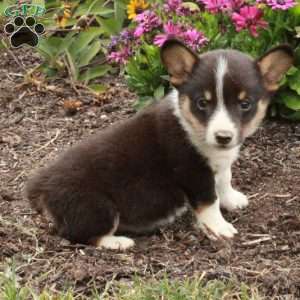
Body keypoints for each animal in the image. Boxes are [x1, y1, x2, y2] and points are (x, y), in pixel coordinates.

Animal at [25, 39, 292, 251]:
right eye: (202, 103)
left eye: (245, 104)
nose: (223, 137)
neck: (191, 127)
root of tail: (42, 186)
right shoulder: (193, 173)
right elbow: (209, 201)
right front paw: (220, 228)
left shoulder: (220, 165)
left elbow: (225, 180)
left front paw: (233, 200)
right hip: (97, 207)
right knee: (80, 235)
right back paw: (118, 242)